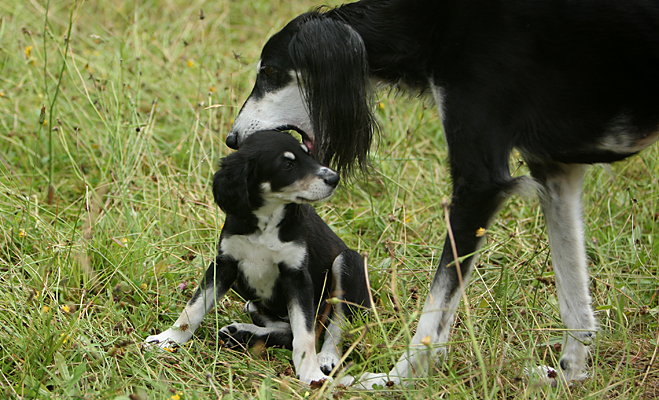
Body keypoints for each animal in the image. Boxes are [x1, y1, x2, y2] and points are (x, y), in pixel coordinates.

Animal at [146, 130, 372, 382]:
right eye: (287, 165)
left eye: (308, 155)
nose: (334, 178)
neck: (267, 221)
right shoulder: (225, 264)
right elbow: (193, 308)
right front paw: (168, 339)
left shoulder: (297, 276)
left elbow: (304, 334)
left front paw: (310, 374)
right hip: (251, 300)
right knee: (286, 331)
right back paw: (241, 333)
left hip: (347, 262)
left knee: (335, 324)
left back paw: (326, 358)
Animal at [226, 0, 659, 388]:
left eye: (271, 72)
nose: (233, 139)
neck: (433, 22)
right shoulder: (555, 171)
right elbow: (574, 302)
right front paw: (568, 375)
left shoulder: (479, 183)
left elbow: (434, 313)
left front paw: (395, 381)